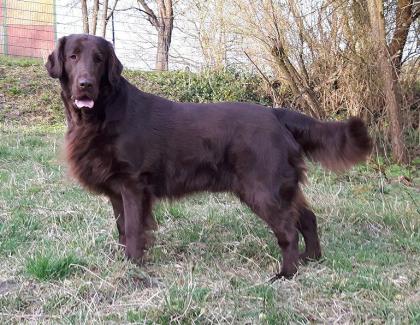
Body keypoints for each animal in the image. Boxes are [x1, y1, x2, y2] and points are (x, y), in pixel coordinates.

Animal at [47, 34, 372, 278]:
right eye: (73, 56)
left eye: (99, 59)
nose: (85, 84)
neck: (100, 115)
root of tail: (276, 114)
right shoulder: (117, 189)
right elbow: (123, 228)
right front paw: (125, 262)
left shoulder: (134, 185)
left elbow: (135, 230)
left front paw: (135, 267)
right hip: (281, 187)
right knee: (307, 218)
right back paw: (311, 259)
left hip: (263, 189)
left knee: (288, 231)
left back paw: (285, 274)